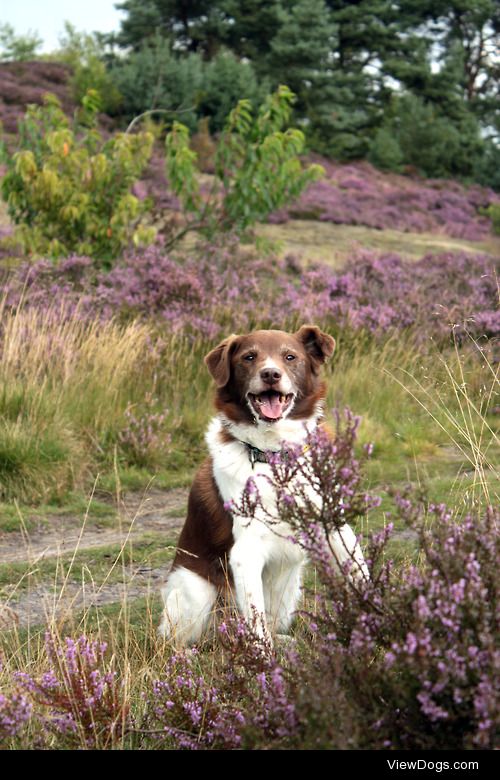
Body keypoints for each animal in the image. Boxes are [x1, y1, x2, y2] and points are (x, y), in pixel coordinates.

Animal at [159, 324, 368, 644]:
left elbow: (361, 576)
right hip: (197, 590)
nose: (270, 374)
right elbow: (256, 629)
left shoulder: (335, 528)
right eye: (249, 357)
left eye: (290, 356)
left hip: (289, 589)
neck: (276, 457)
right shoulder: (245, 552)